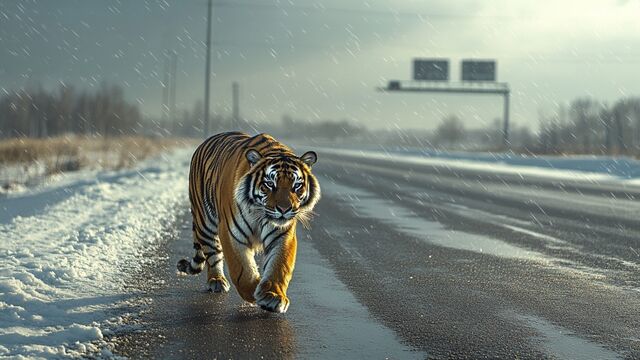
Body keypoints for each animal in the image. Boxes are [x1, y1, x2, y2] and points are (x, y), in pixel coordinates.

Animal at [176, 132, 320, 312]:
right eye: (270, 184)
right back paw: (217, 280)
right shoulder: (231, 232)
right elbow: (242, 270)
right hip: (205, 222)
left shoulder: (282, 234)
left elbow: (280, 266)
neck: (260, 214)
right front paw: (254, 291)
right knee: (212, 253)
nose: (284, 209)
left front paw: (273, 295)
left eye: (297, 186)